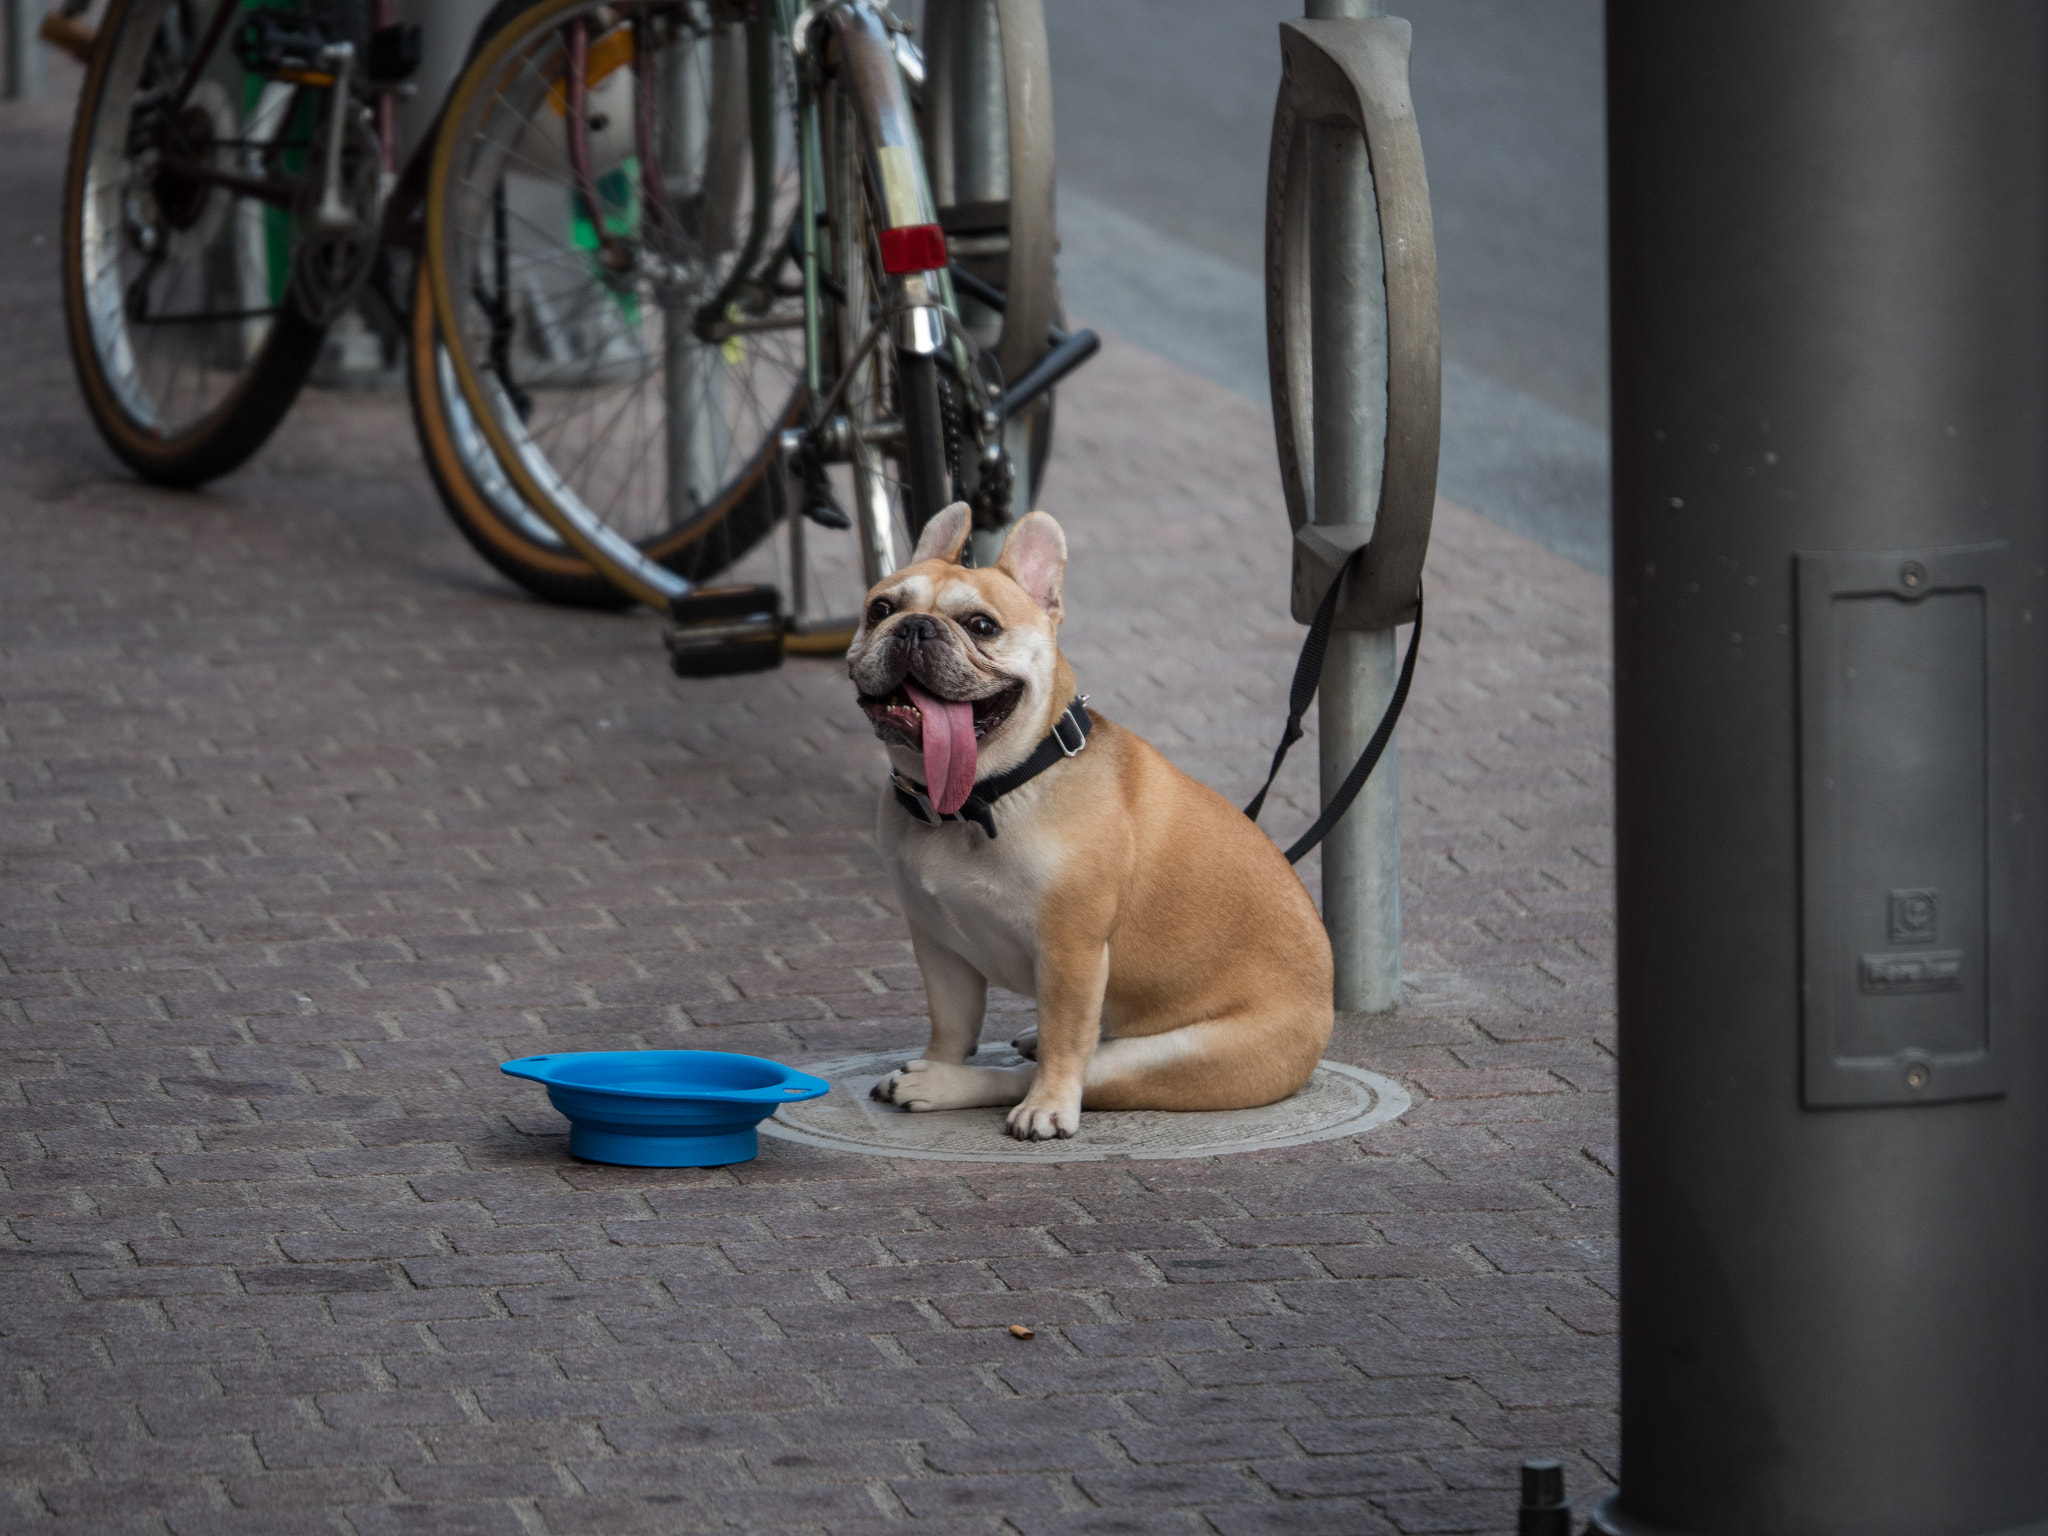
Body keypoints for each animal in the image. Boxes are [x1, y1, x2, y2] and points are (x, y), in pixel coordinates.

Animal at [843, 505, 1335, 1146]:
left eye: (981, 625)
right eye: (880, 609)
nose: (914, 628)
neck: (982, 799)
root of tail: (1325, 1015)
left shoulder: (1070, 948)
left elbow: (1065, 1039)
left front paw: (1044, 1103)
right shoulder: (938, 942)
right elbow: (951, 1025)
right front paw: (939, 1060)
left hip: (1173, 1056)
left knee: (1074, 1065)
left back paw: (978, 1087)